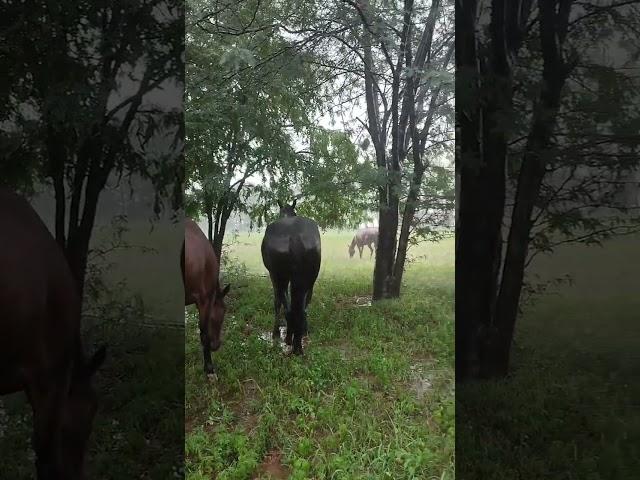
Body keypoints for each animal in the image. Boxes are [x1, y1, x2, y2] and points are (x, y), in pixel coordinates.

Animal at [260, 201, 320, 354]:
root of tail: (295, 235)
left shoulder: (273, 276)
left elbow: (277, 303)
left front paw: (276, 333)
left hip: (279, 277)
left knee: (287, 309)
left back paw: (288, 340)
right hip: (310, 280)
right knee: (302, 309)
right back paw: (298, 343)